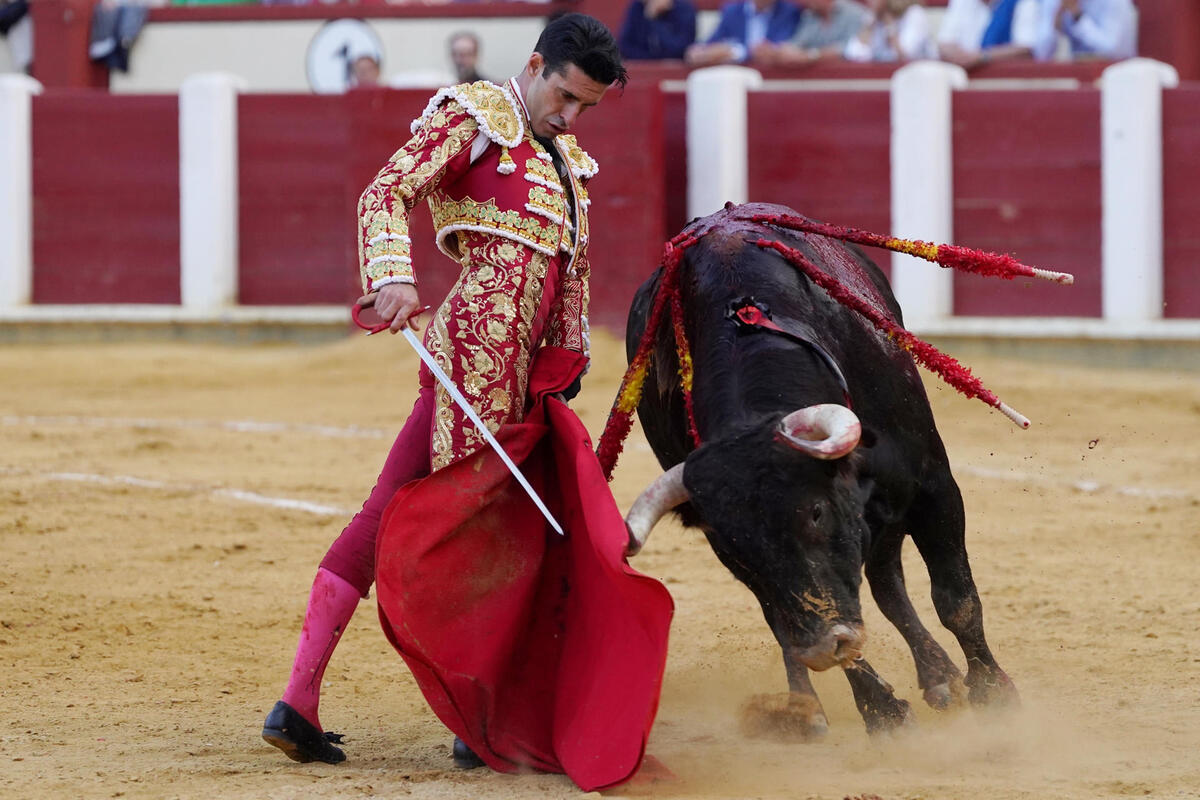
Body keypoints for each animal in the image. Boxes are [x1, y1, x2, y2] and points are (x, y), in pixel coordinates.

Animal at [624, 205, 1017, 738]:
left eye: (814, 513)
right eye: (736, 546)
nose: (819, 646)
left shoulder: (932, 484)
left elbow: (956, 598)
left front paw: (994, 693)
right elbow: (808, 618)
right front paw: (882, 712)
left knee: (886, 582)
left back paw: (939, 678)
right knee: (801, 614)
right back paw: (809, 709)